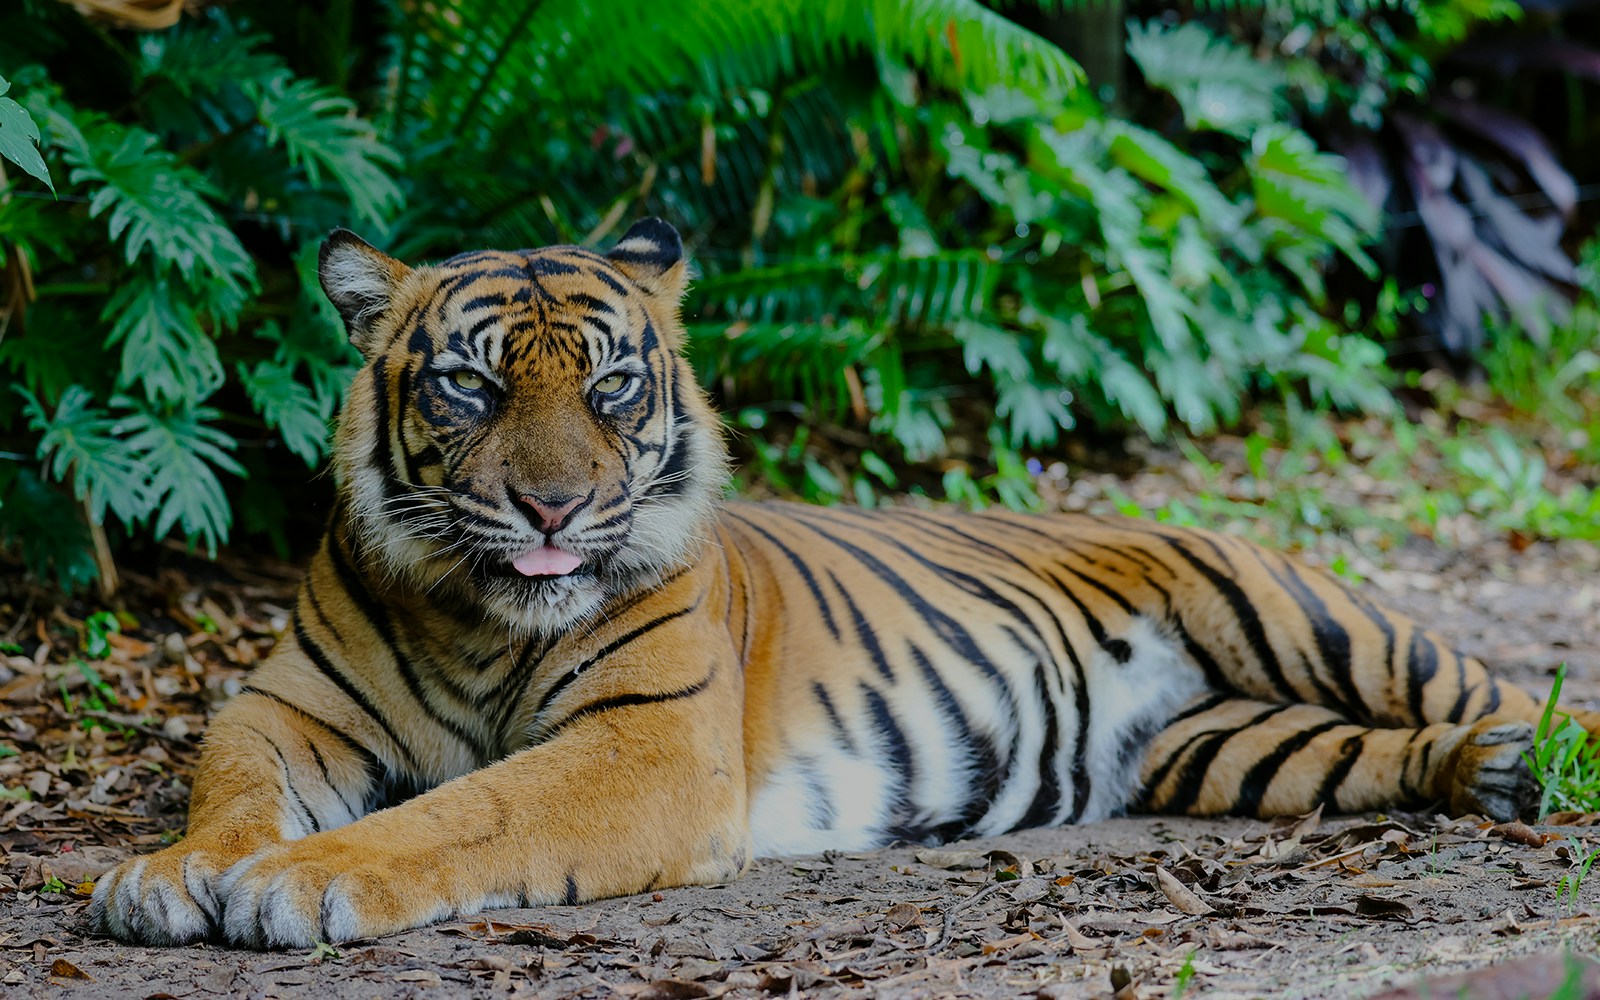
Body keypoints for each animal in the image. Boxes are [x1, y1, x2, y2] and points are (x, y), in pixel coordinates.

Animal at [92, 218, 1577, 949]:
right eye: (469, 381)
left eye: (612, 384)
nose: (552, 503)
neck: (479, 618)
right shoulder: (288, 710)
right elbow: (232, 788)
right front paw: (170, 875)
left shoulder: (645, 746)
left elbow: (468, 809)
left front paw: (299, 881)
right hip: (1230, 748)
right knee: (1372, 754)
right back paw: (1487, 775)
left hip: (1302, 610)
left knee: (1490, 682)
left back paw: (1536, 760)